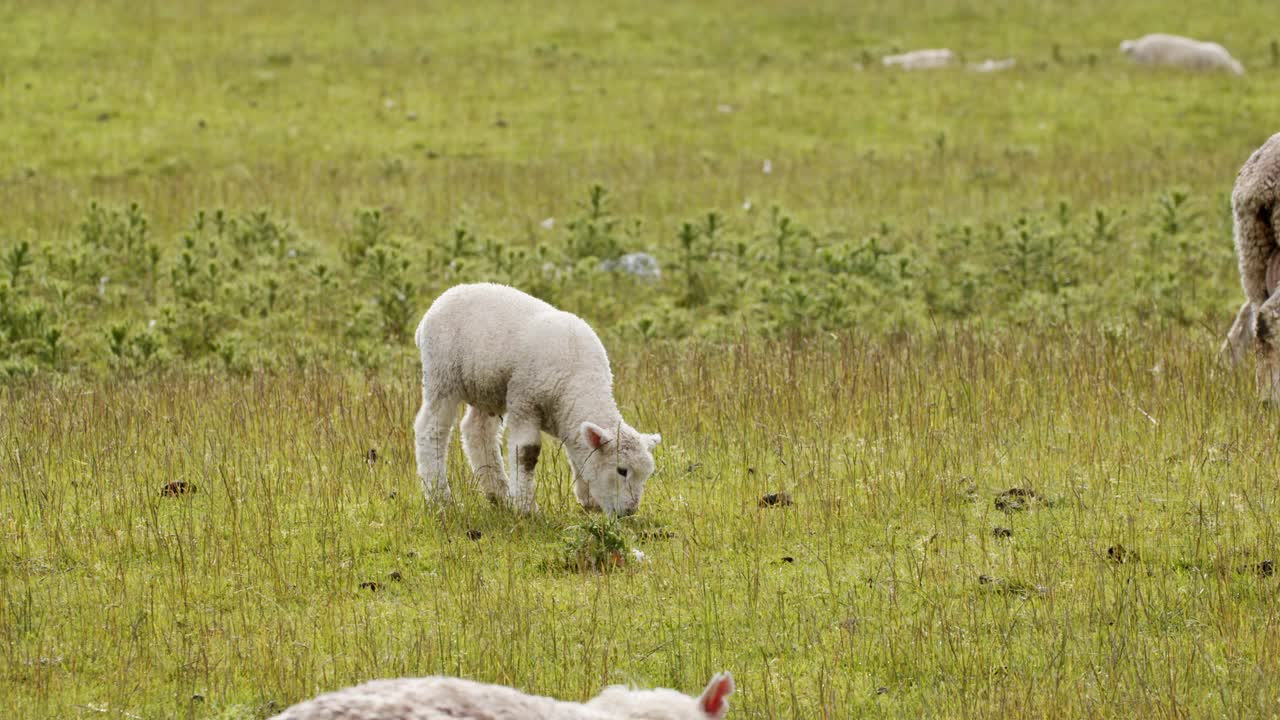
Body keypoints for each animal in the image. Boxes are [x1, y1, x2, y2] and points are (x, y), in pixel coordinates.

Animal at [414, 279, 665, 509]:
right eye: (622, 470)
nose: (629, 511)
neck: (579, 380)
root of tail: (437, 304)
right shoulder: (525, 402)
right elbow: (527, 454)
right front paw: (526, 507)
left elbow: (578, 455)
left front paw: (588, 500)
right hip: (442, 374)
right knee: (431, 430)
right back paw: (440, 498)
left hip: (486, 387)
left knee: (477, 430)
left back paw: (498, 494)